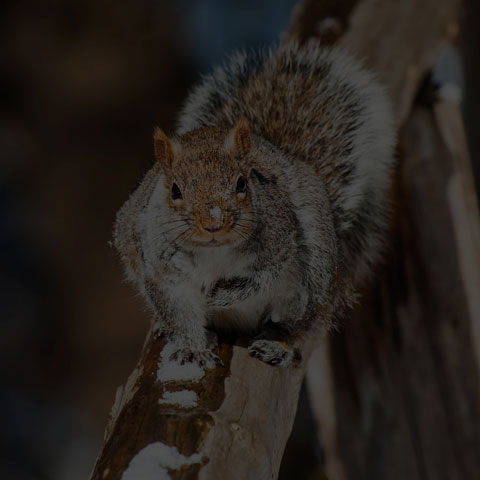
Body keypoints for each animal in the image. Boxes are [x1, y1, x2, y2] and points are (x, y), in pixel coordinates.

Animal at [114, 39, 396, 368]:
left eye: (241, 183)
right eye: (174, 190)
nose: (213, 223)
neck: (214, 251)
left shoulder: (279, 239)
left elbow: (263, 276)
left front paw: (222, 295)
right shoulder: (164, 272)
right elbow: (181, 315)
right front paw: (192, 349)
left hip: (316, 275)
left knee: (302, 325)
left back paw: (278, 345)